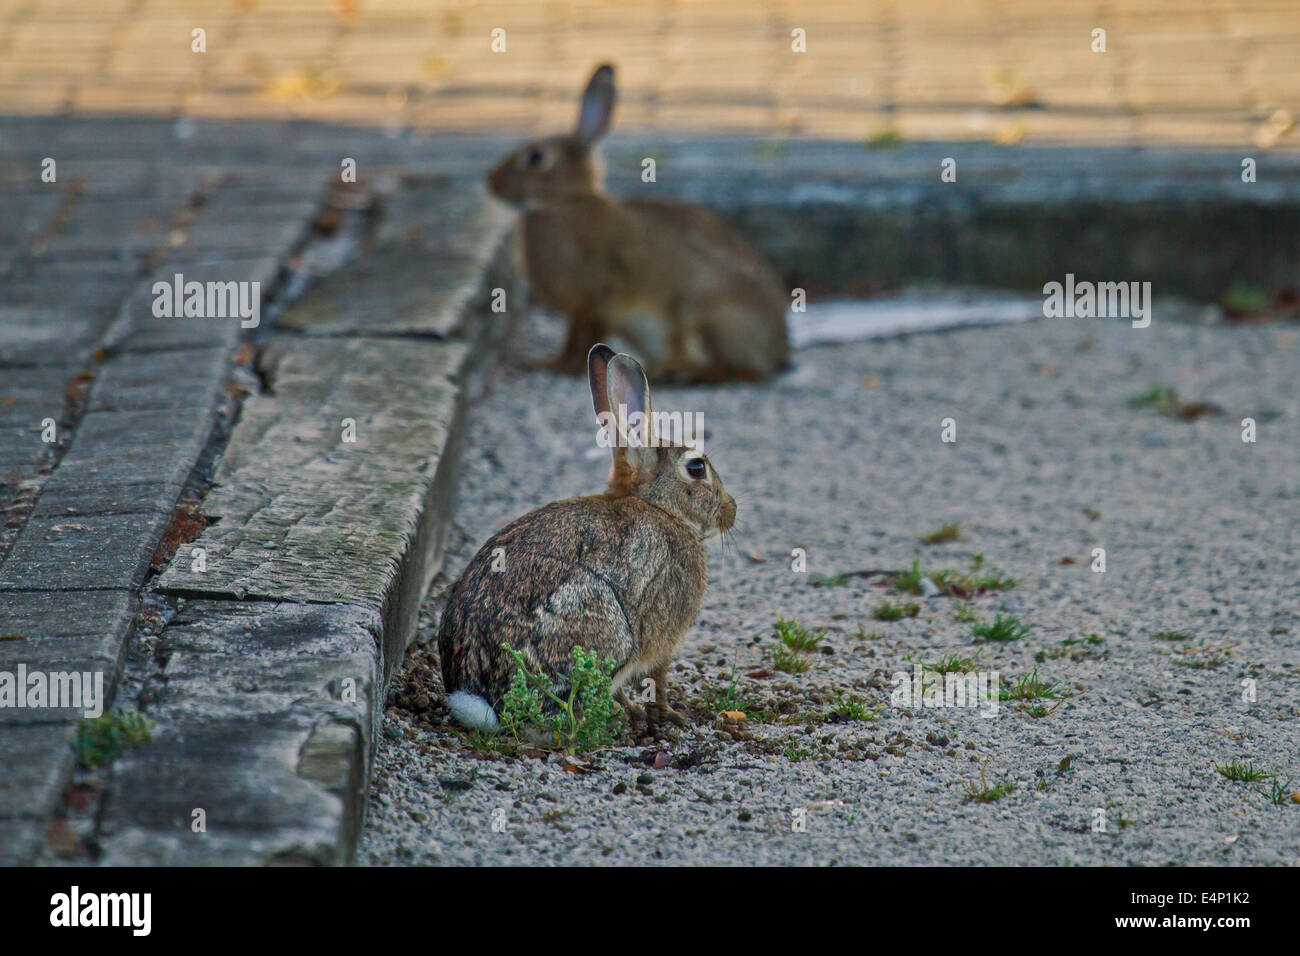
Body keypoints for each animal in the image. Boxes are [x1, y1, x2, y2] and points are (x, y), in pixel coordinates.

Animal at [441, 343, 738, 733]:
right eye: (697, 468)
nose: (731, 511)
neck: (658, 506)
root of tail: (485, 699)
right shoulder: (664, 635)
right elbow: (658, 677)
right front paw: (668, 715)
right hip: (602, 624)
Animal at [488, 61, 790, 385]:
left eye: (536, 157)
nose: (492, 181)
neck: (566, 202)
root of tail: (778, 353)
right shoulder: (582, 309)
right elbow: (572, 339)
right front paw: (548, 363)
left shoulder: (600, 295)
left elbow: (585, 338)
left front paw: (564, 369)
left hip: (703, 314)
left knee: (737, 371)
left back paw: (676, 371)